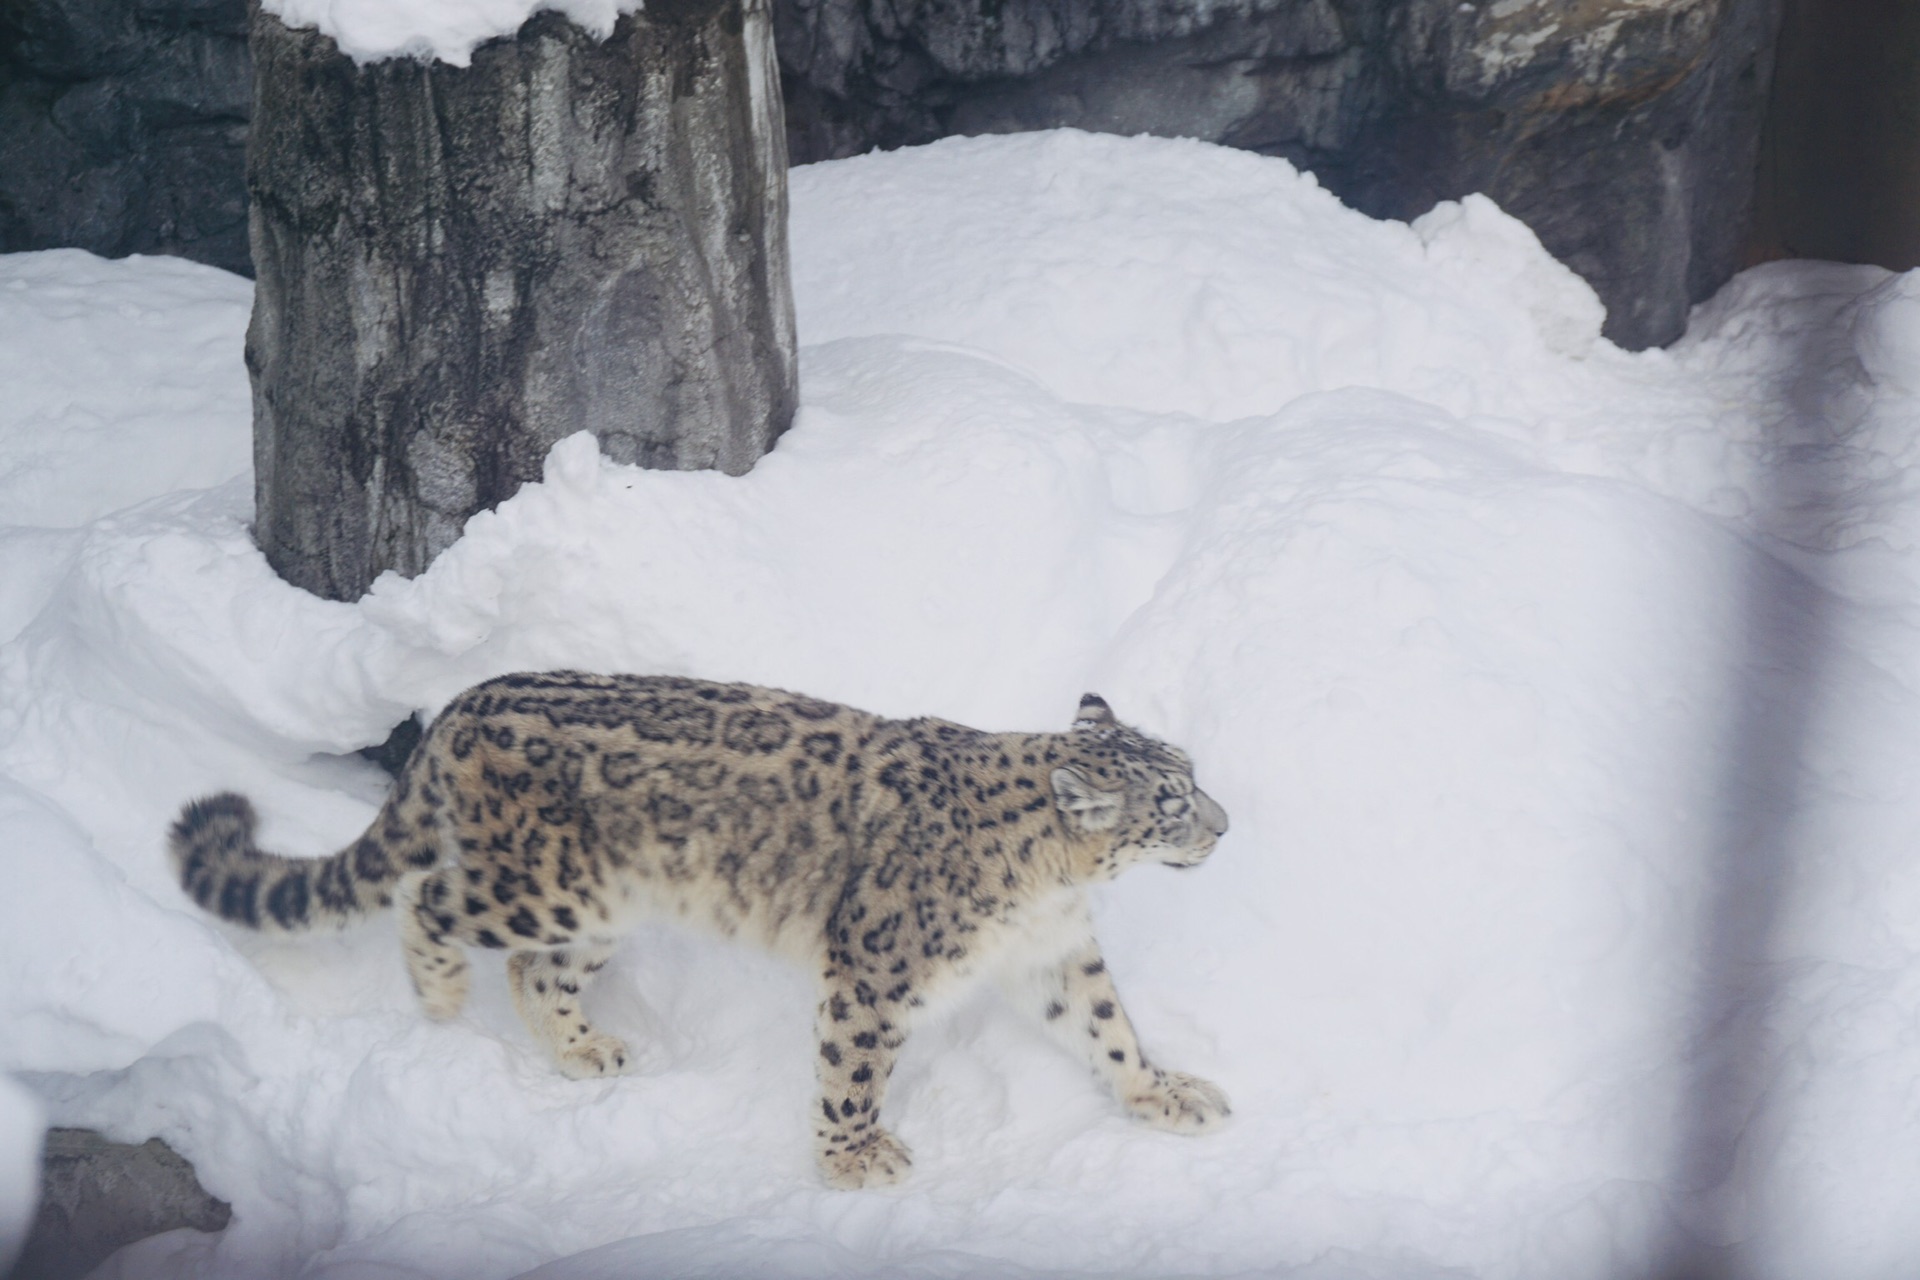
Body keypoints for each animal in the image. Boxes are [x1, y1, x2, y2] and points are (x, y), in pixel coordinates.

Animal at [168, 675, 1228, 1189]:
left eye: (1192, 775)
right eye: (1172, 802)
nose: (1223, 825)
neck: (1051, 886)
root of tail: (463, 705)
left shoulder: (1054, 955)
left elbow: (1107, 1029)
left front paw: (1167, 1095)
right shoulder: (874, 968)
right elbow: (854, 1070)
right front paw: (855, 1161)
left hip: (601, 907)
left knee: (534, 975)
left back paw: (585, 1049)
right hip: (543, 884)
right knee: (430, 900)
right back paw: (437, 994)